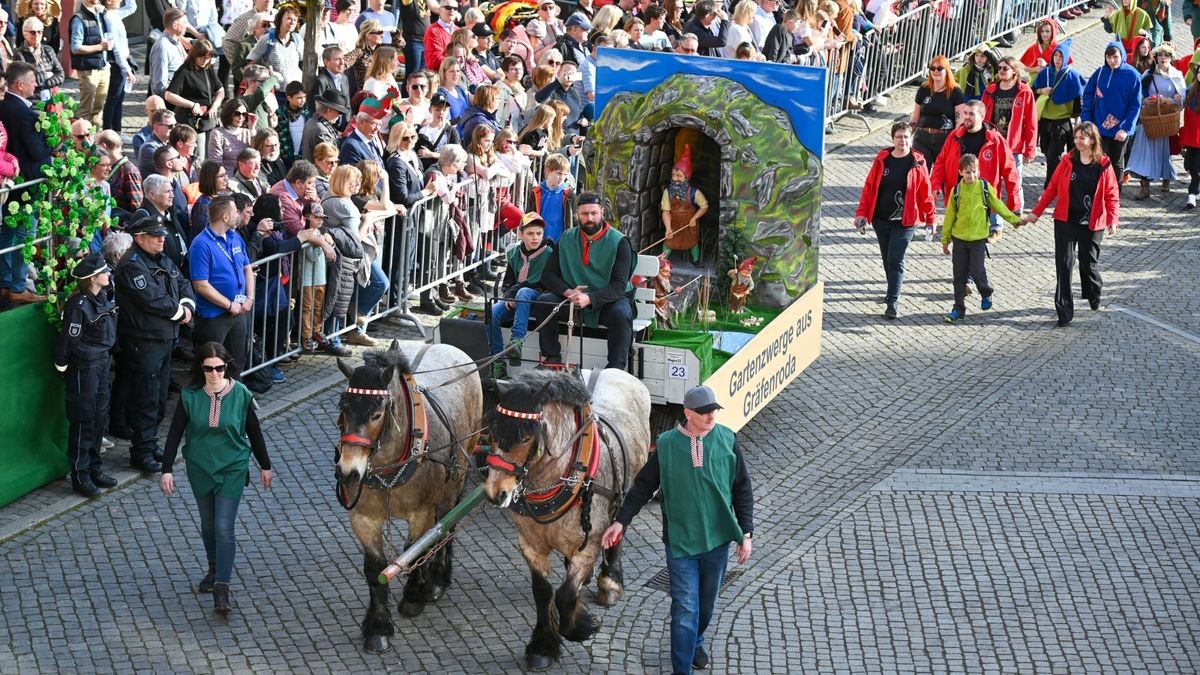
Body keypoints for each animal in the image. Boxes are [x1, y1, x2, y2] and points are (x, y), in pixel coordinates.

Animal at [333, 341, 482, 653]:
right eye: (343, 410)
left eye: (377, 415)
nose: (348, 472)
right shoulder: (363, 519)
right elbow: (375, 569)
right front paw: (378, 628)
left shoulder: (421, 513)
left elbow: (416, 549)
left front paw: (414, 596)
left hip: (456, 478)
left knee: (446, 525)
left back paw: (436, 581)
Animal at [480, 367, 652, 667]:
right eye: (491, 433)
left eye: (525, 438)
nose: (494, 492)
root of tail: (619, 372)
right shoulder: (531, 545)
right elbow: (543, 592)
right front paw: (542, 646)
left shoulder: (588, 545)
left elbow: (565, 595)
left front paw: (579, 626)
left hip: (627, 492)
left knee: (618, 530)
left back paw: (610, 582)